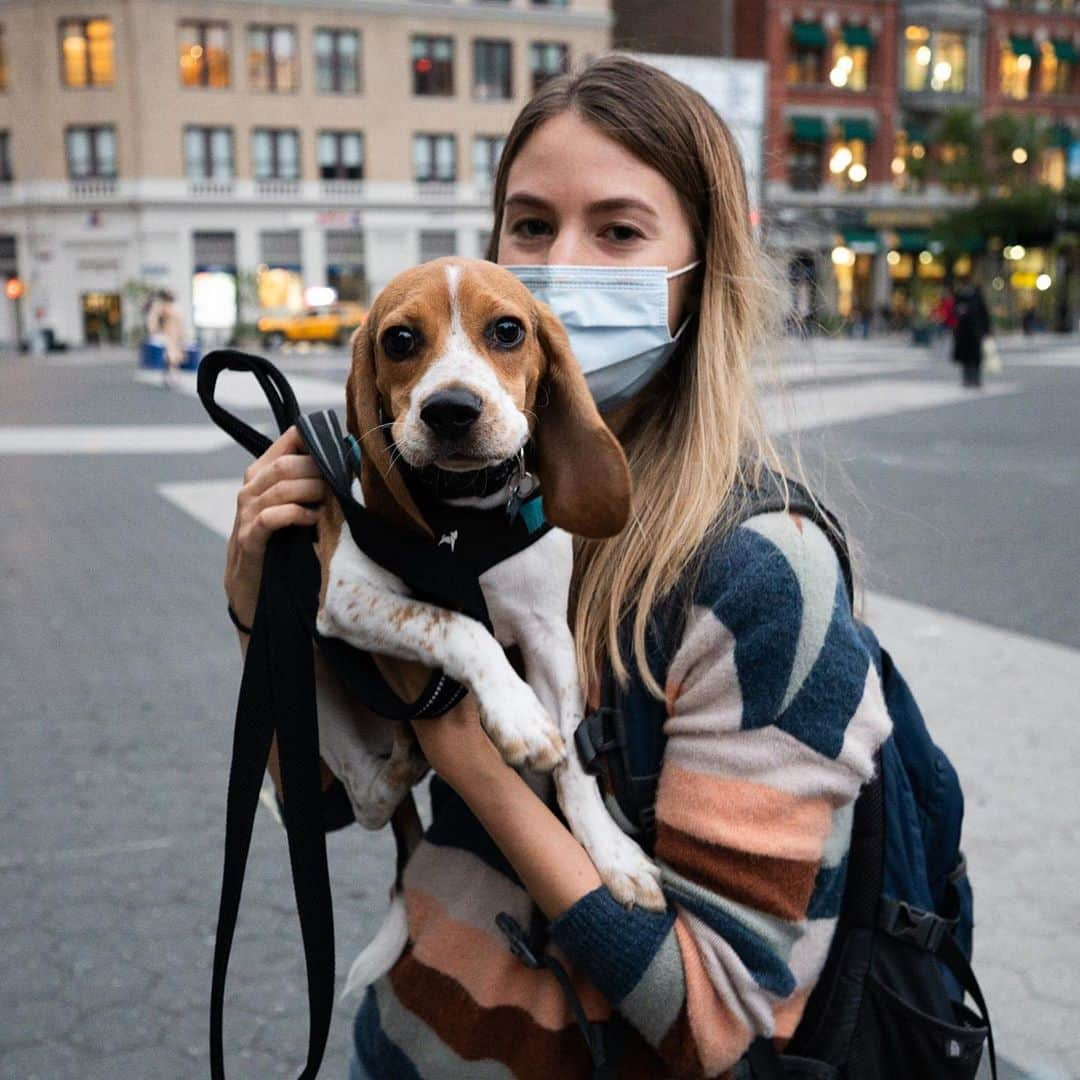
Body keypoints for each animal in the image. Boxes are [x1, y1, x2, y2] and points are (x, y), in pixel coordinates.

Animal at [311, 257, 665, 989]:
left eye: (507, 330)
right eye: (399, 340)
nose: (451, 409)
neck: (464, 517)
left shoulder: (550, 638)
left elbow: (575, 765)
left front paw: (611, 853)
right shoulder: (347, 596)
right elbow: (457, 625)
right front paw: (517, 715)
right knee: (370, 800)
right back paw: (399, 764)